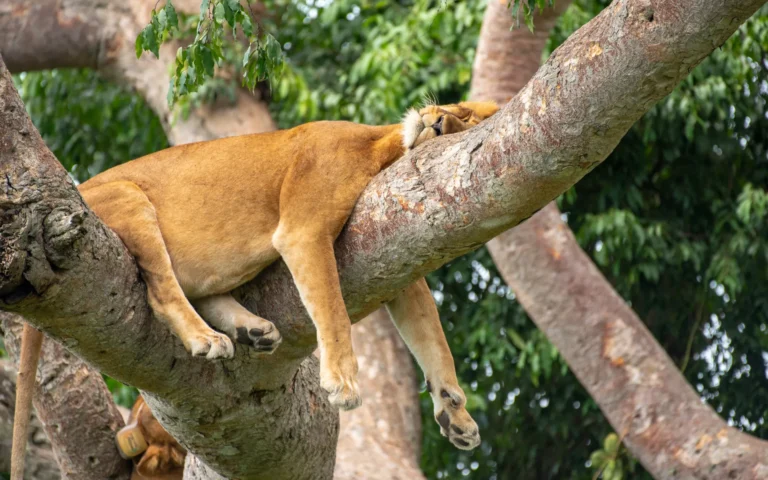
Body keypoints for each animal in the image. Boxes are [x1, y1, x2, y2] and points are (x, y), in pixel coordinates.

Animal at [11, 101, 499, 479]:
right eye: (461, 112)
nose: (439, 122)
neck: (381, 147)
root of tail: (77, 192)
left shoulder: (396, 250)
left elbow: (432, 339)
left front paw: (455, 413)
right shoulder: (303, 230)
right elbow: (334, 311)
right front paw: (342, 381)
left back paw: (253, 330)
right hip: (129, 198)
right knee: (162, 291)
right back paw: (207, 338)